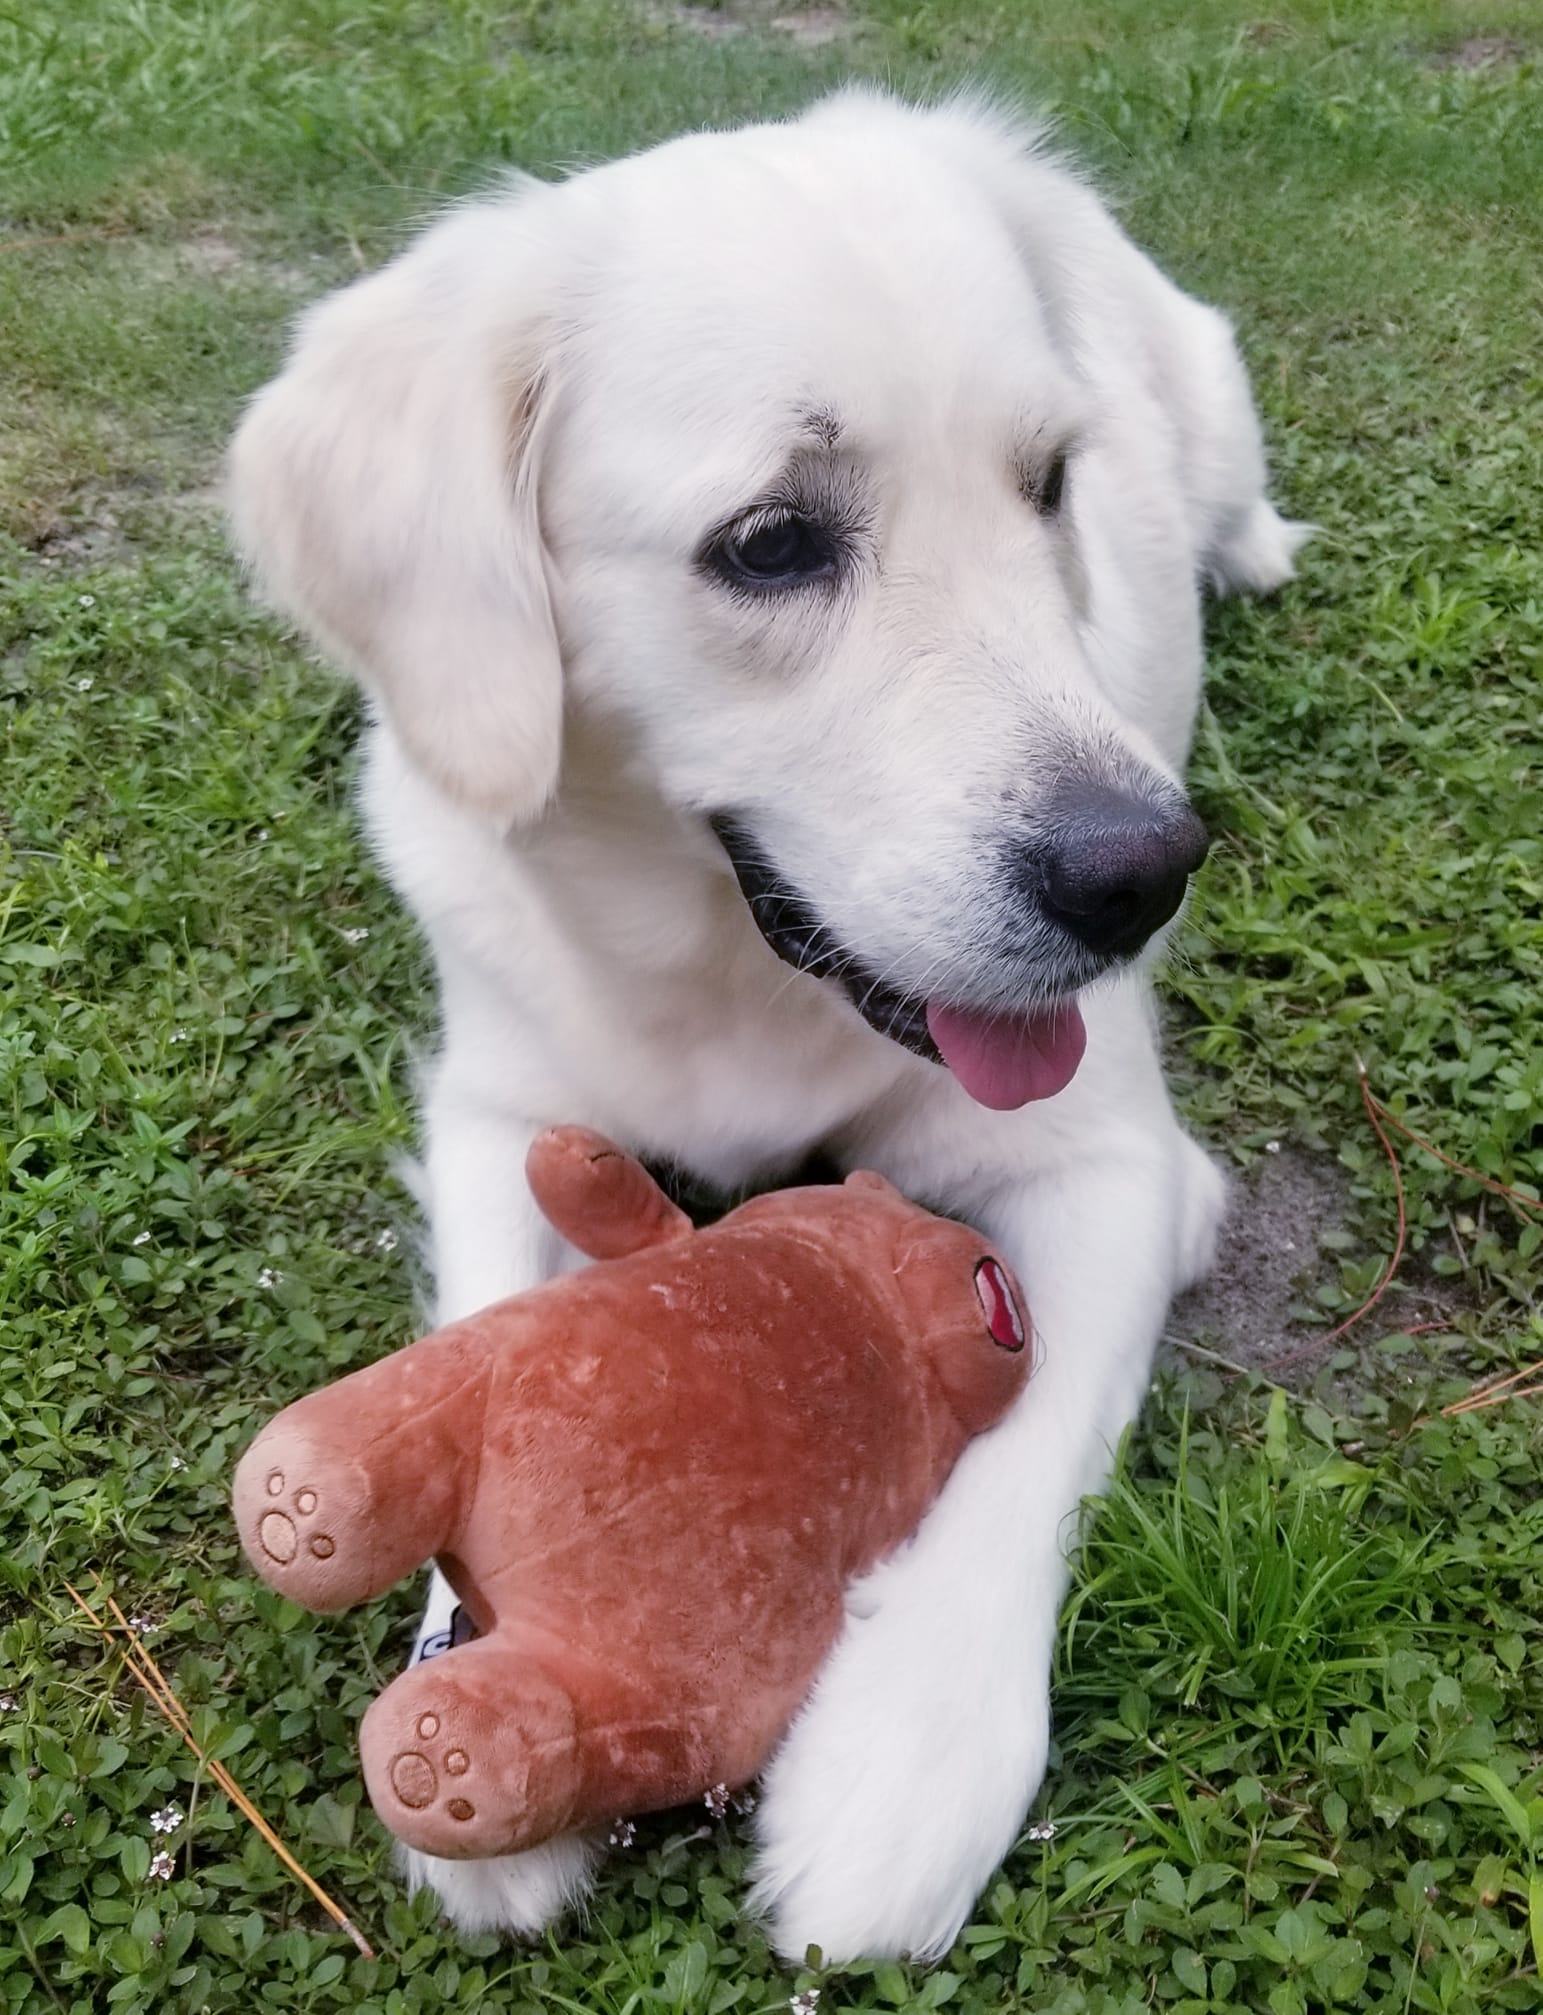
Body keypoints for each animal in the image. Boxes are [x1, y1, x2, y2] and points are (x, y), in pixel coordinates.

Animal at [229, 86, 1313, 1958]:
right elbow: (490, 1333)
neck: (735, 965)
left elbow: (1019, 1447)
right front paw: (465, 1681)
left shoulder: (1113, 1167)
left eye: (1045, 486)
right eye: (770, 542)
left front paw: (900, 1765)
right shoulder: (498, 1107)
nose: (1141, 875)